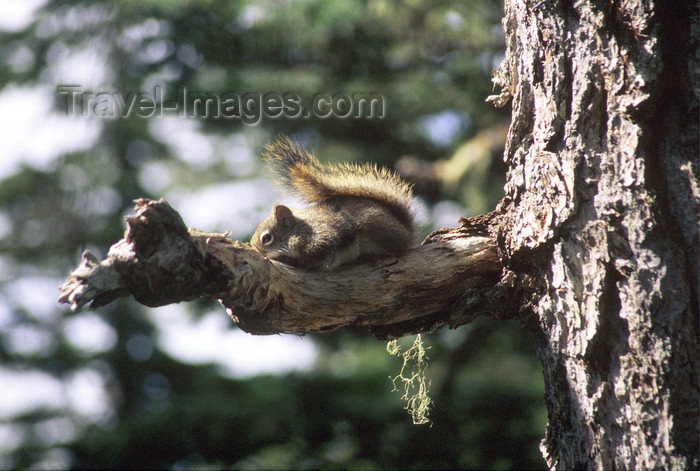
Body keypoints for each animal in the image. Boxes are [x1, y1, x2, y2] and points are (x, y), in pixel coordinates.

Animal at [252, 135, 416, 272]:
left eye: (266, 238)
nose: (256, 250)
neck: (299, 228)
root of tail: (407, 231)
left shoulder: (321, 237)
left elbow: (311, 257)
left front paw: (285, 258)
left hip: (377, 228)